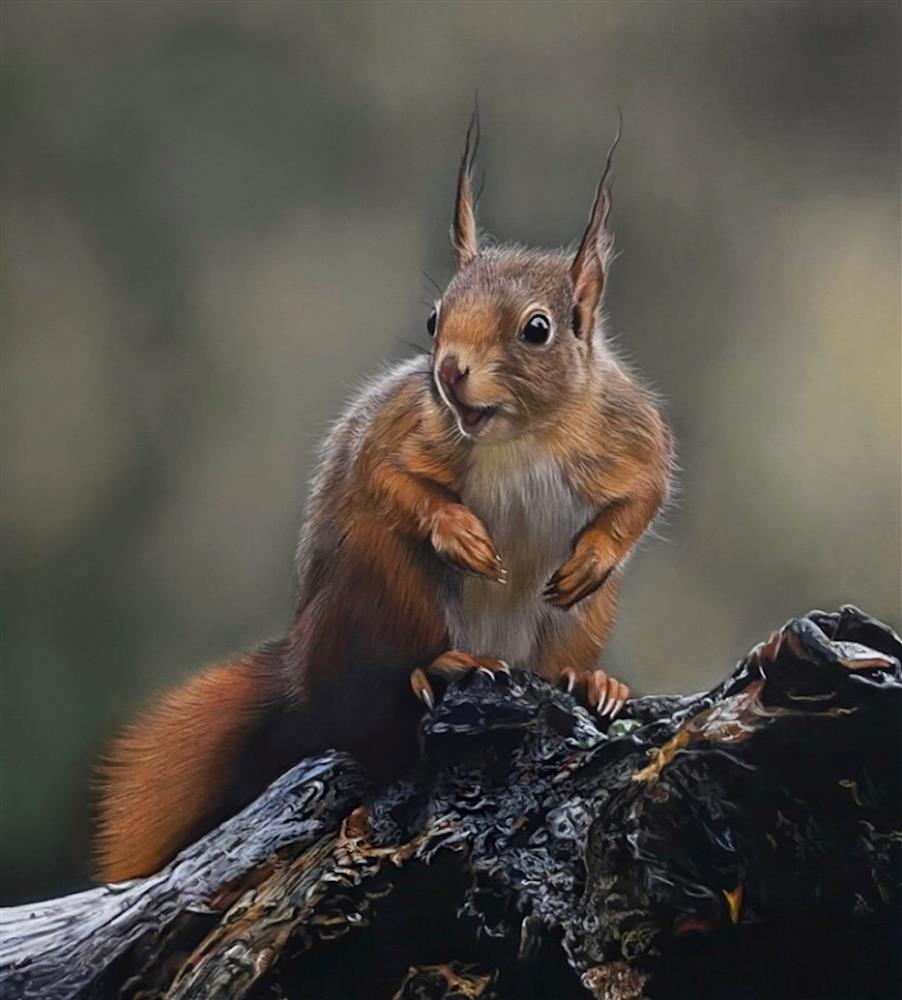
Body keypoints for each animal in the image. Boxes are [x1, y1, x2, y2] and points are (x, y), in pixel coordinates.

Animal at [95, 113, 676, 884]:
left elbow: (645, 492)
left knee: (551, 661)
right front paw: (461, 534)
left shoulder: (632, 432)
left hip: (575, 622)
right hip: (385, 586)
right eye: (434, 319)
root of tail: (301, 674)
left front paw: (593, 556)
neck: (519, 440)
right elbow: (385, 478)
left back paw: (590, 681)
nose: (450, 372)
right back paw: (443, 665)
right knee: (374, 687)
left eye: (537, 329)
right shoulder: (400, 428)